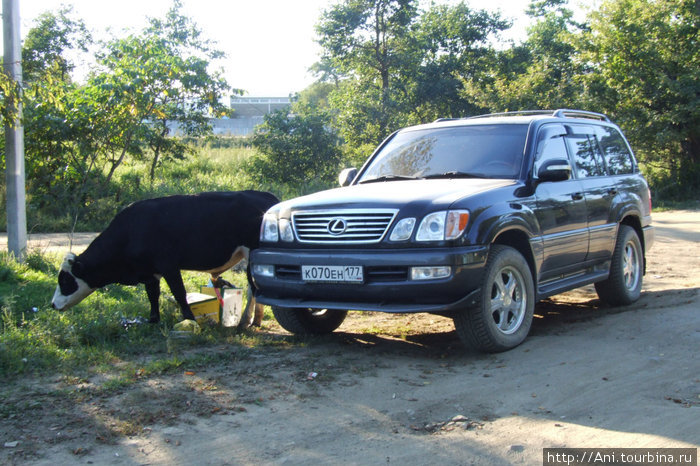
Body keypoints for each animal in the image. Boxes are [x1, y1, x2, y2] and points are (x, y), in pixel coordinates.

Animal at [51, 191, 278, 322]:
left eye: (65, 280)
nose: (53, 305)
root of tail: (266, 196)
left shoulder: (169, 265)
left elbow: (179, 292)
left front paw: (189, 319)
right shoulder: (150, 272)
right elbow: (153, 295)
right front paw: (153, 320)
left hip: (251, 254)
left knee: (254, 288)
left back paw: (247, 321)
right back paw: (253, 320)